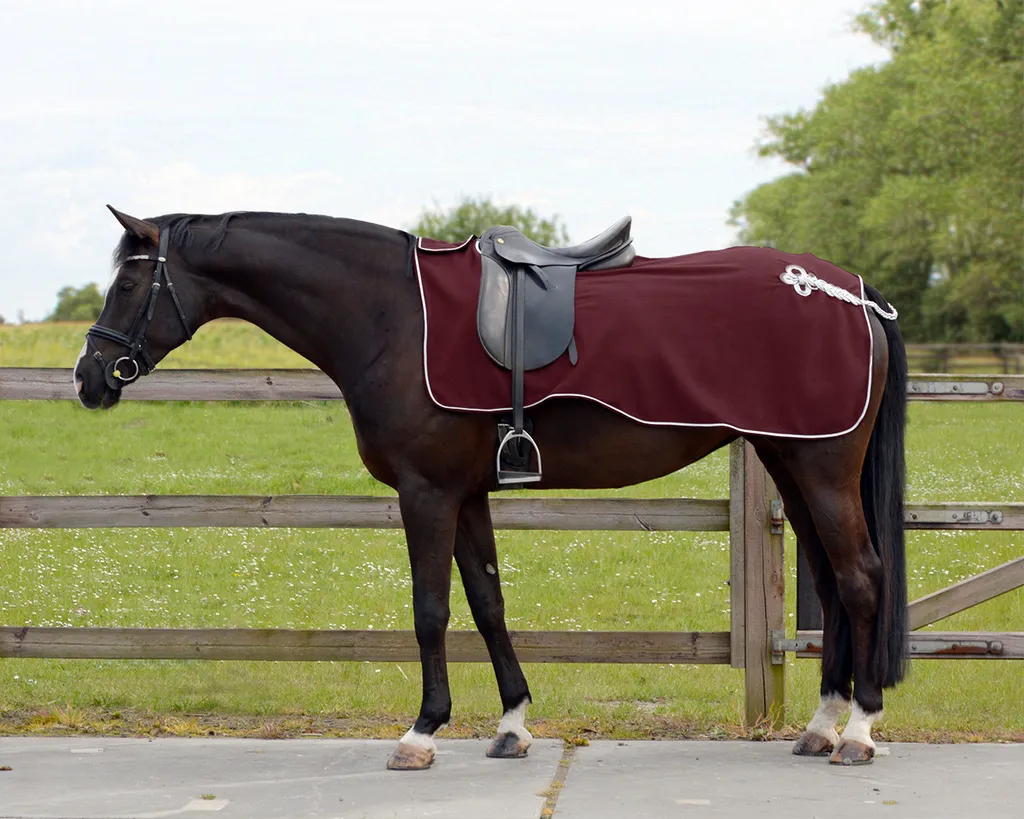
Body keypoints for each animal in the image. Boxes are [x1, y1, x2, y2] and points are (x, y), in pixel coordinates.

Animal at [74, 206, 908, 771]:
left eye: (130, 279)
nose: (88, 377)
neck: (391, 314)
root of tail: (854, 294)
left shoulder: (426, 492)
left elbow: (431, 610)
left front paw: (421, 731)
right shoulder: (467, 493)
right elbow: (487, 601)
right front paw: (512, 723)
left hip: (820, 467)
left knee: (862, 579)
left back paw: (858, 731)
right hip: (790, 464)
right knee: (833, 582)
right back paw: (822, 724)